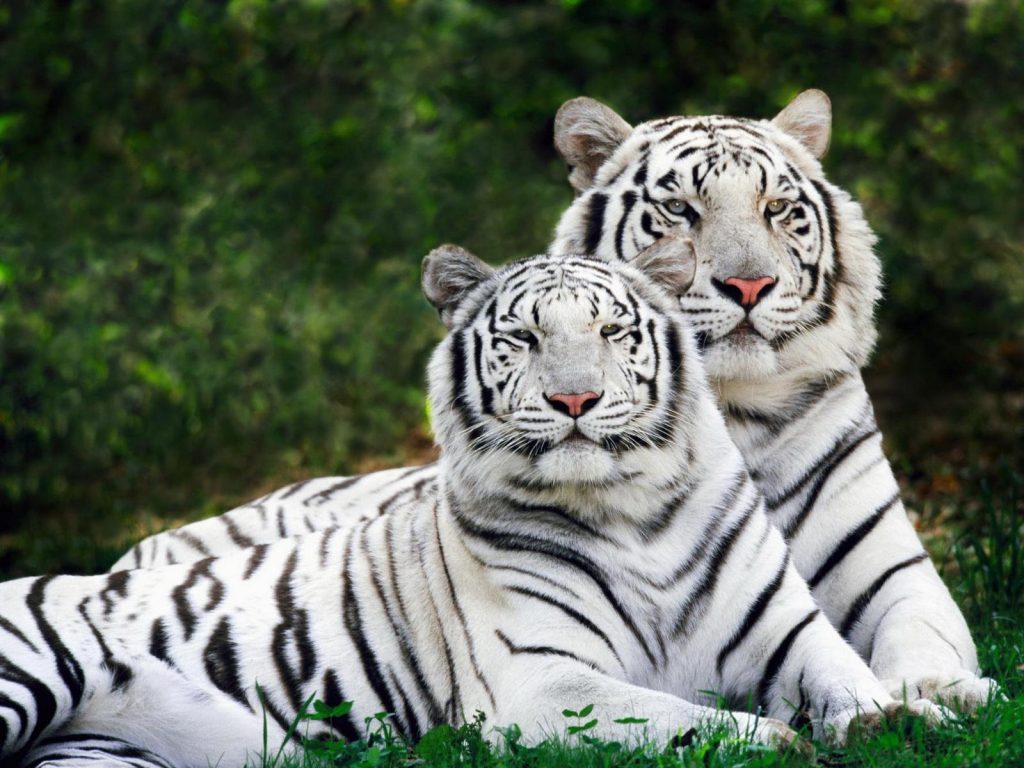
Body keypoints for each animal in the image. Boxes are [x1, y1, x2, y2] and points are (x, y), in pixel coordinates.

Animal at [0, 245, 947, 768]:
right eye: (523, 338)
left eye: (612, 332)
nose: (574, 401)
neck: (633, 511)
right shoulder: (540, 681)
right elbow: (689, 719)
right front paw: (783, 743)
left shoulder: (789, 633)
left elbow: (851, 680)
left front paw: (910, 718)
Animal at [112, 90, 998, 711]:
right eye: (680, 210)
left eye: (778, 209)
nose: (748, 285)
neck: (734, 411)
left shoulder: (892, 570)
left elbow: (923, 634)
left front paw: (946, 693)